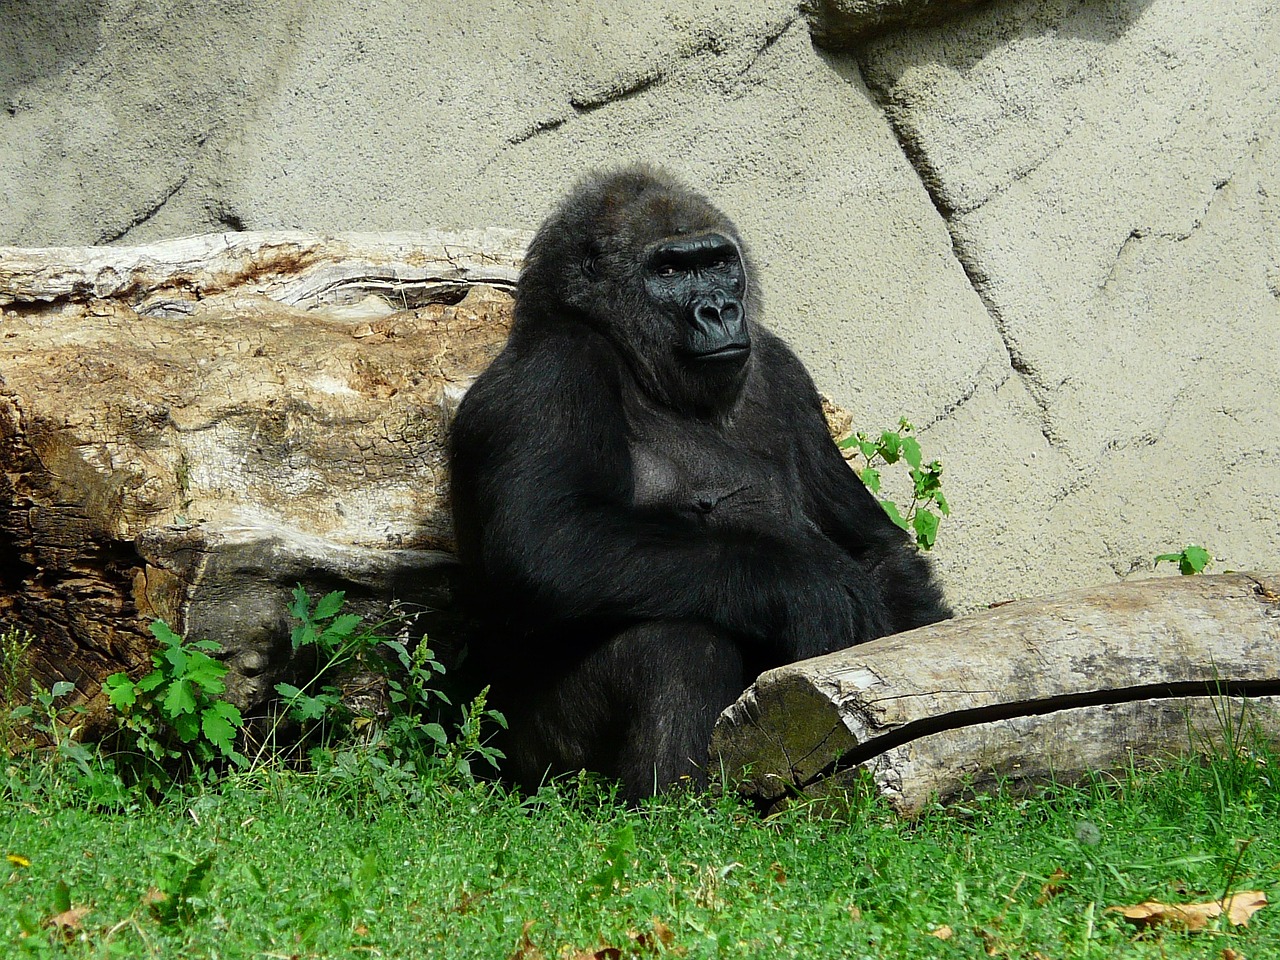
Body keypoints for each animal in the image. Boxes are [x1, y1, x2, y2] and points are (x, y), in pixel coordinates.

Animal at [450, 167, 952, 803]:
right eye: (668, 271)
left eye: (715, 262)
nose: (718, 309)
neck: (633, 358)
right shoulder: (552, 372)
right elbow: (544, 542)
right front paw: (809, 589)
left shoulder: (783, 368)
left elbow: (875, 548)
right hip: (531, 764)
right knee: (678, 644)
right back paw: (672, 808)